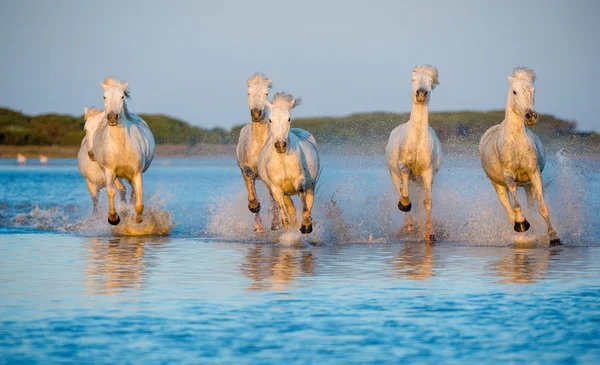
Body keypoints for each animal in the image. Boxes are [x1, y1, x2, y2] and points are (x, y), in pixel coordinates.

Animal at [92, 77, 155, 225]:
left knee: (132, 192)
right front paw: (113, 218)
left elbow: (139, 200)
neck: (121, 147)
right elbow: (111, 191)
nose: (112, 117)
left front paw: (136, 219)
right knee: (121, 188)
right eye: (104, 96)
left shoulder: (137, 173)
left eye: (122, 96)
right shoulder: (109, 171)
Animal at [236, 73, 280, 232]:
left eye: (266, 93)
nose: (256, 113)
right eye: (248, 93)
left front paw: (275, 223)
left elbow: (274, 197)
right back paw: (258, 226)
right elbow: (251, 187)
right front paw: (254, 206)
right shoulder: (246, 168)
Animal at [260, 91, 322, 233]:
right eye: (270, 119)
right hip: (286, 193)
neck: (282, 159)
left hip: (311, 185)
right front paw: (288, 232)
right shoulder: (276, 189)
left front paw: (306, 226)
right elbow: (284, 214)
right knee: (290, 208)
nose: (280, 145)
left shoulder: (299, 180)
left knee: (309, 201)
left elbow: (303, 199)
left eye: (288, 118)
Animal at [384, 65, 440, 242]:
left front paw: (430, 233)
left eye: (430, 81)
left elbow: (427, 201)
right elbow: (405, 192)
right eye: (413, 79)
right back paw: (408, 225)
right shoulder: (403, 166)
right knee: (400, 189)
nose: (421, 94)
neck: (415, 142)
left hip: (419, 180)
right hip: (394, 175)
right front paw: (404, 205)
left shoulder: (427, 172)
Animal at [480, 67, 560, 246]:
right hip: (498, 185)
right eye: (515, 91)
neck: (515, 140)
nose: (531, 116)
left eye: (533, 91)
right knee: (508, 208)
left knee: (530, 205)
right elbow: (516, 206)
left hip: (528, 185)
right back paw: (520, 228)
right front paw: (522, 224)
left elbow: (542, 208)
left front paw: (553, 237)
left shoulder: (534, 173)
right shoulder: (509, 176)